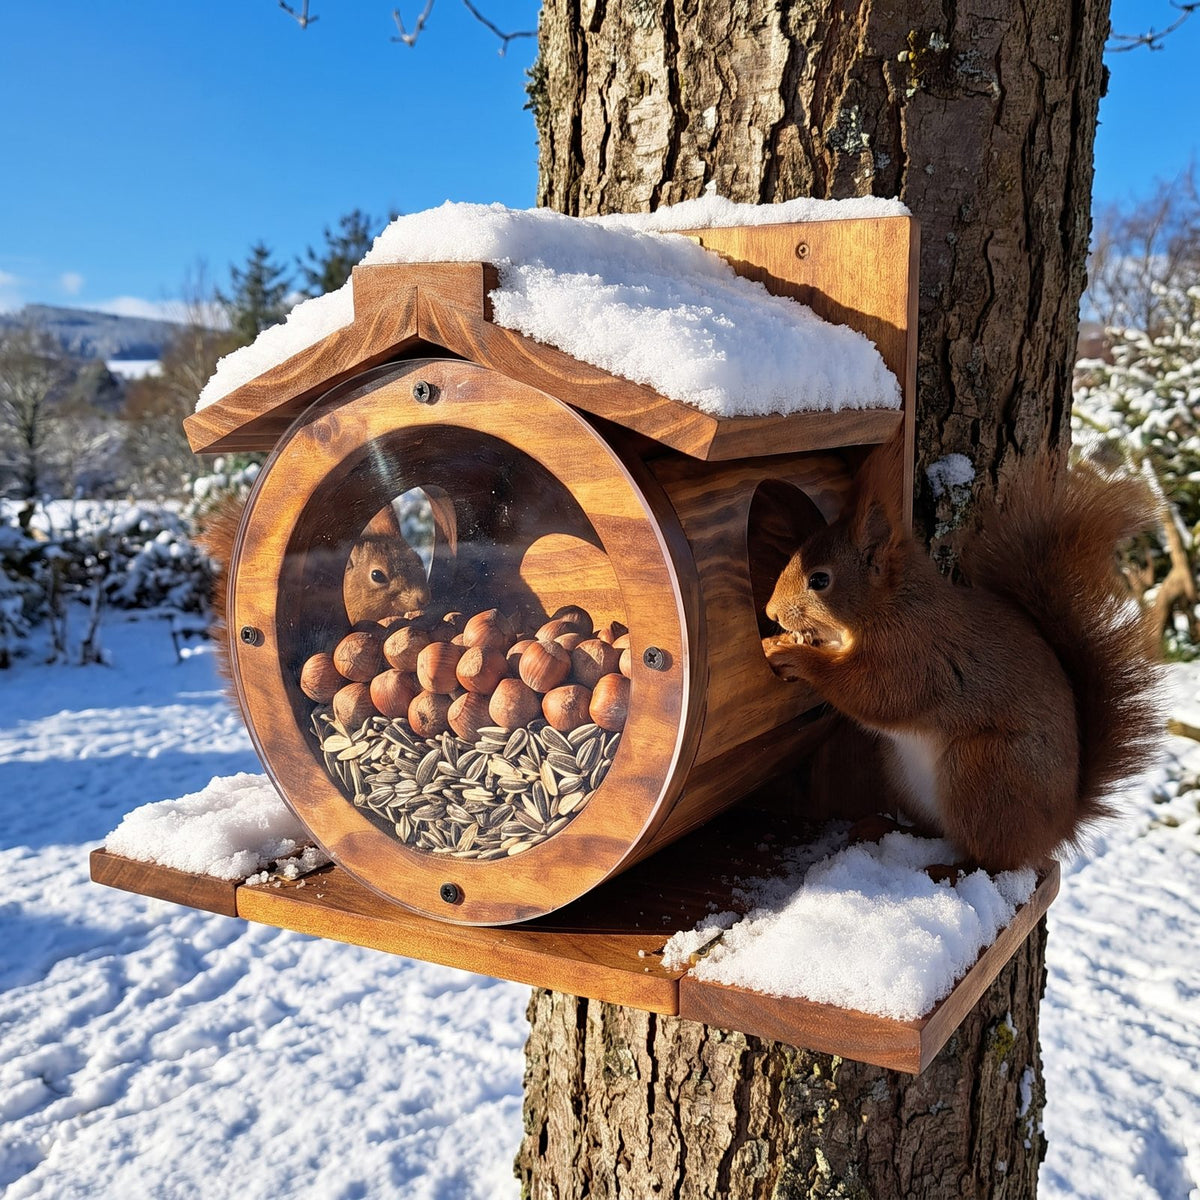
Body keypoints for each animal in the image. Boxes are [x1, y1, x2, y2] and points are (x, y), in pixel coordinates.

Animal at [762, 445, 1161, 873]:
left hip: (983, 772)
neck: (891, 604)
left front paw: (791, 654)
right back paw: (883, 828)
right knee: (937, 832)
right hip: (906, 775)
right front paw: (787, 640)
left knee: (990, 859)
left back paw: (947, 871)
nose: (771, 613)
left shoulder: (916, 654)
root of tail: (1057, 828)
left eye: (819, 580)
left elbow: (874, 693)